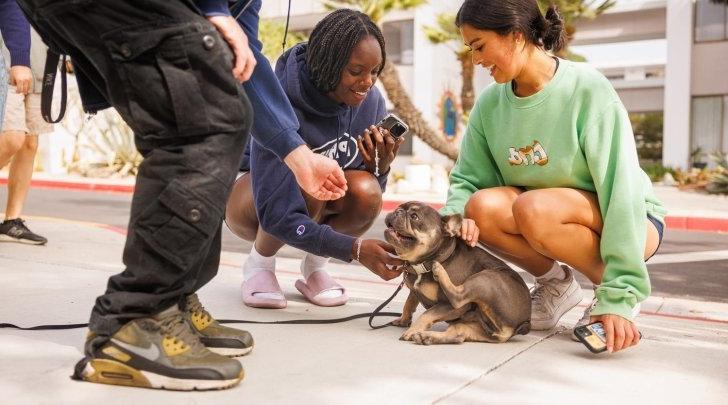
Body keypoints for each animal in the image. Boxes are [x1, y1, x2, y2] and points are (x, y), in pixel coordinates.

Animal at [384, 202, 532, 344]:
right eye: (399, 208)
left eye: (414, 217)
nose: (397, 211)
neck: (423, 263)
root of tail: (523, 323)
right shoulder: (414, 290)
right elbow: (409, 302)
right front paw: (403, 320)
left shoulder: (448, 306)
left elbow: (427, 314)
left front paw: (411, 330)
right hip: (470, 326)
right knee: (457, 336)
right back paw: (426, 337)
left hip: (487, 278)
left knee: (458, 297)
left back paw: (439, 271)